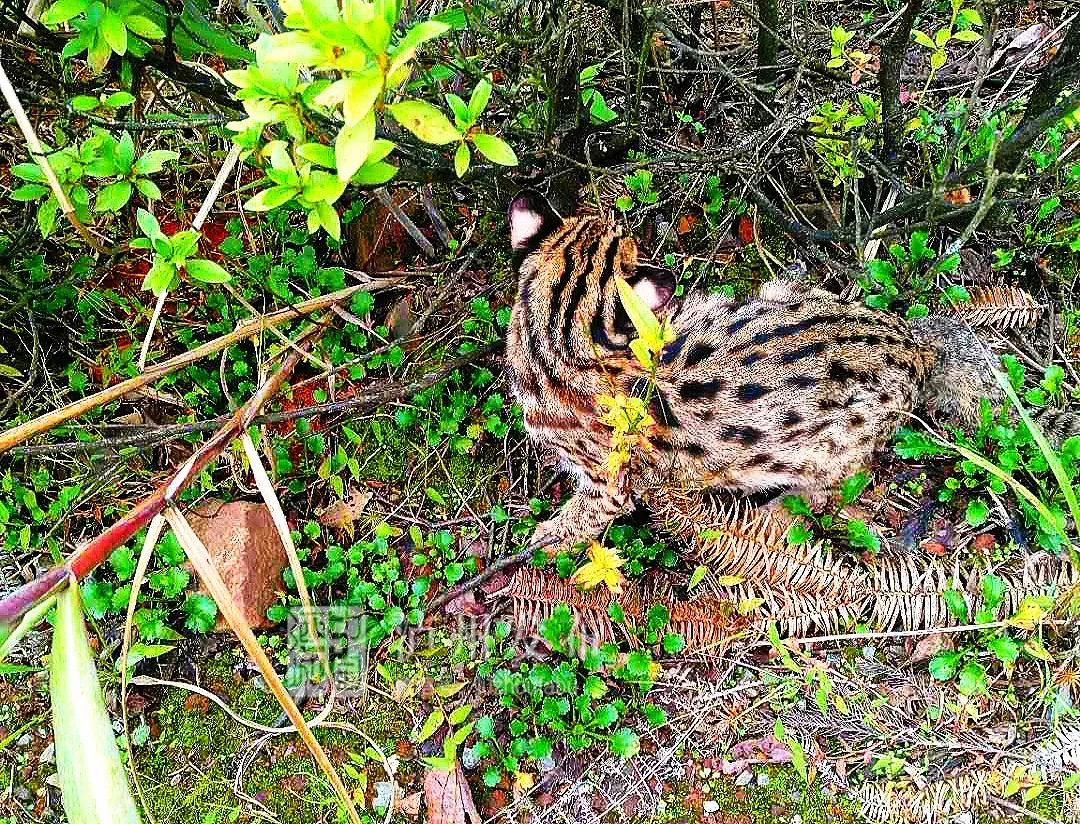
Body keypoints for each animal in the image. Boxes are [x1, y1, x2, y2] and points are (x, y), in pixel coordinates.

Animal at [505, 190, 1002, 570]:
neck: (556, 337)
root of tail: (910, 341)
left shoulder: (611, 483)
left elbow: (581, 519)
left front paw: (542, 539)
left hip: (832, 450)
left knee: (829, 491)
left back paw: (779, 513)